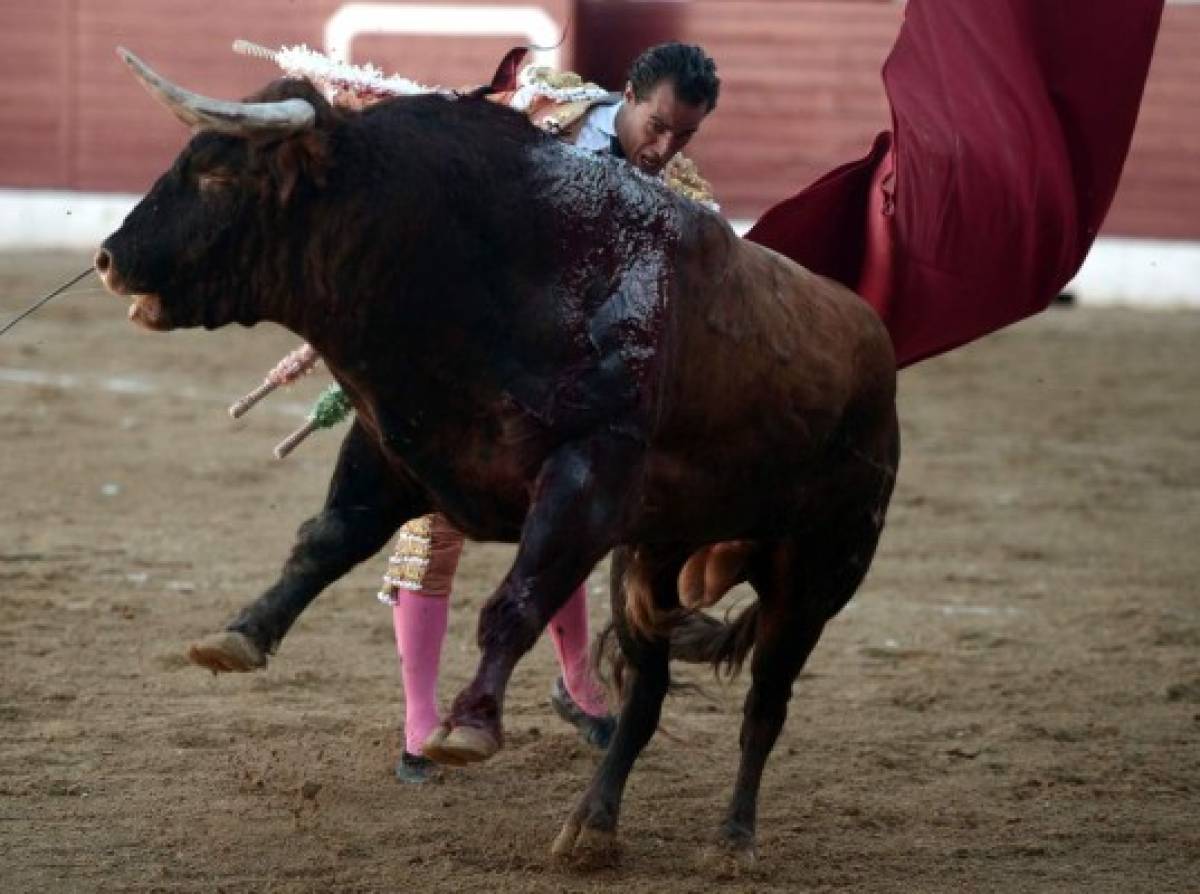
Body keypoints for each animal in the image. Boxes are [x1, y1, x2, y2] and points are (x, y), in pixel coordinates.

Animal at [96, 50, 902, 864]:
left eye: (217, 176)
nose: (108, 258)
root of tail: (874, 340)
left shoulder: (585, 476)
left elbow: (517, 599)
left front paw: (470, 725)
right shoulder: (400, 448)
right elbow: (324, 542)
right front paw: (239, 635)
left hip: (817, 570)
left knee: (766, 701)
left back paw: (733, 839)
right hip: (649, 562)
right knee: (645, 697)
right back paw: (592, 827)